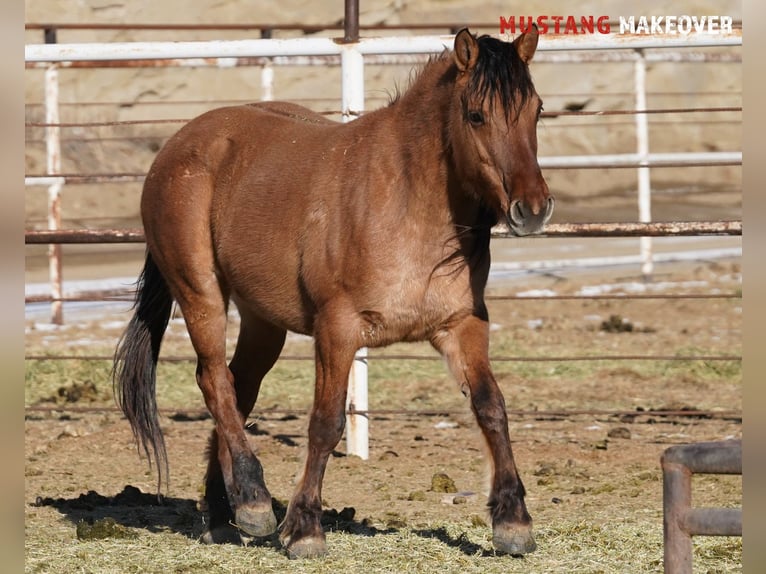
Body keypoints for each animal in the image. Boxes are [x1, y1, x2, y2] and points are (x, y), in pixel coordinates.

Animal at [112, 28, 552, 564]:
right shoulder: (337, 330)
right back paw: (255, 502)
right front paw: (304, 529)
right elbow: (325, 423)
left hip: (263, 322)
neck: (406, 204)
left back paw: (224, 513)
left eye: (536, 109)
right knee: (214, 380)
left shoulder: (463, 325)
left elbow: (492, 407)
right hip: (201, 294)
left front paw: (513, 522)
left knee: (238, 390)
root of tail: (179, 144)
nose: (532, 208)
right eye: (476, 116)